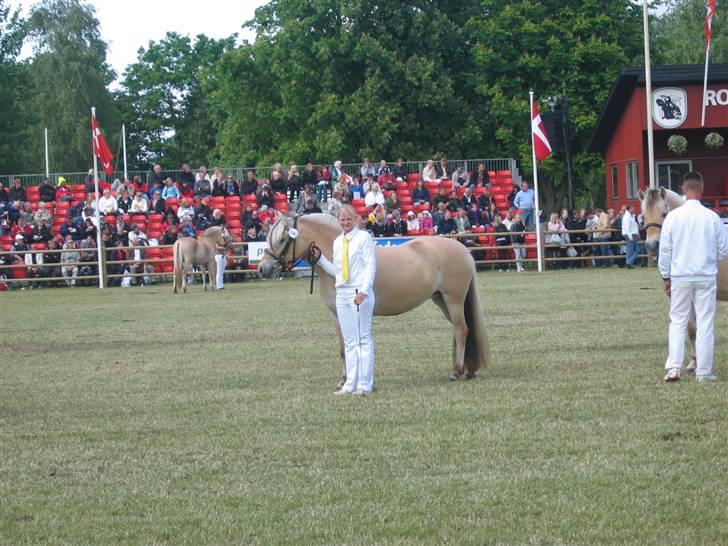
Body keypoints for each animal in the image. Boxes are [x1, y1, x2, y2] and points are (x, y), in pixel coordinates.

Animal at [256, 211, 490, 382]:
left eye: (283, 239)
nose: (262, 269)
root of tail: (462, 249)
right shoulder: (336, 313)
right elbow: (343, 346)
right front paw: (344, 380)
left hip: (454, 299)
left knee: (461, 330)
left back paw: (456, 372)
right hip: (441, 299)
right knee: (462, 330)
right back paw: (467, 370)